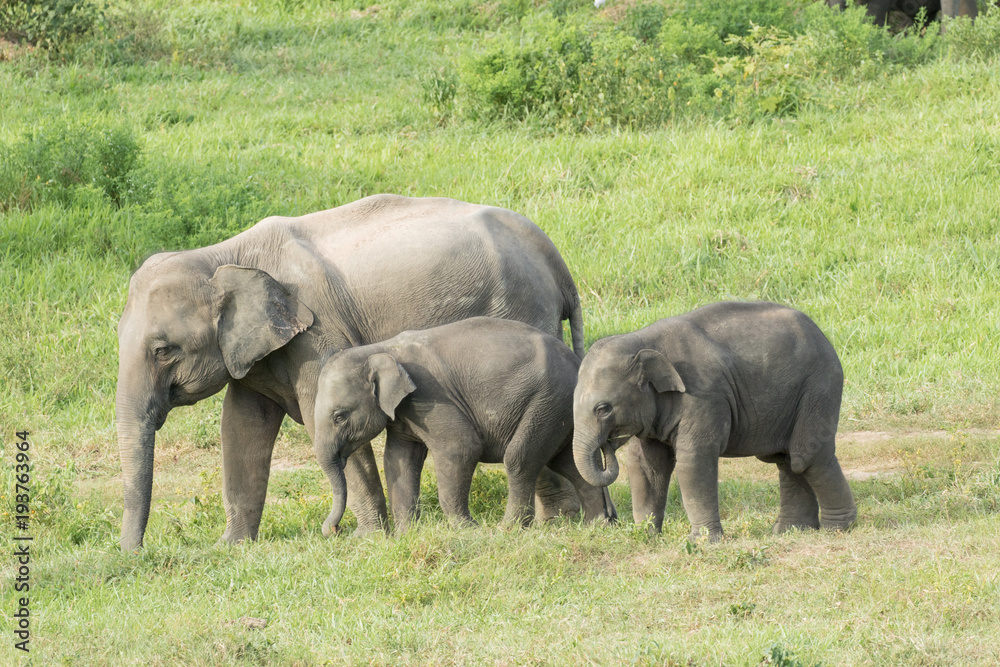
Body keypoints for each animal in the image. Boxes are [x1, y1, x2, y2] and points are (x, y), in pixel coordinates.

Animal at [117, 194, 584, 552]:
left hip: (523, 307)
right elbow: (241, 428)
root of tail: (559, 264)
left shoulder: (318, 334)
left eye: (162, 350)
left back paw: (553, 522)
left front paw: (368, 537)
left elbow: (318, 416)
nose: (135, 554)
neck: (221, 255)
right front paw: (230, 547)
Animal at [314, 316, 616, 536]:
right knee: (567, 462)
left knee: (520, 459)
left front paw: (466, 531)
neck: (380, 349)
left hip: (548, 401)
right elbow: (398, 459)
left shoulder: (429, 396)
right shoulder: (403, 414)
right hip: (561, 411)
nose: (332, 530)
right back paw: (596, 525)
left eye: (339, 416)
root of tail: (577, 362)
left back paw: (507, 530)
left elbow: (460, 448)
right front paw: (406, 535)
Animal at [576, 302, 856, 544]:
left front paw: (702, 542)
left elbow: (694, 460)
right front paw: (646, 536)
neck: (642, 340)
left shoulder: (704, 396)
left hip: (819, 387)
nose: (607, 445)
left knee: (807, 456)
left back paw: (837, 529)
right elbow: (646, 465)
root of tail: (823, 336)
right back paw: (790, 531)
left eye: (603, 409)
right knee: (787, 460)